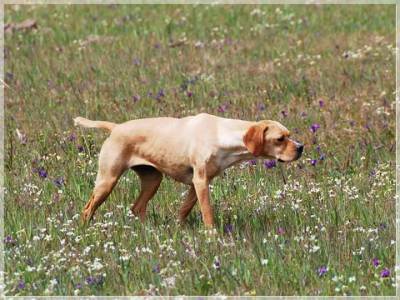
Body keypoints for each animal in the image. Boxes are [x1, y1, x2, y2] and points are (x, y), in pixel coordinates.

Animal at [74, 112, 304, 227]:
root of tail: (116, 128)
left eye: (289, 135)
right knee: (87, 209)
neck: (222, 134)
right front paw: (213, 237)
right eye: (280, 139)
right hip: (107, 181)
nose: (301, 147)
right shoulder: (200, 181)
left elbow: (184, 210)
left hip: (152, 180)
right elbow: (207, 213)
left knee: (137, 207)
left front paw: (179, 229)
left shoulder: (198, 183)